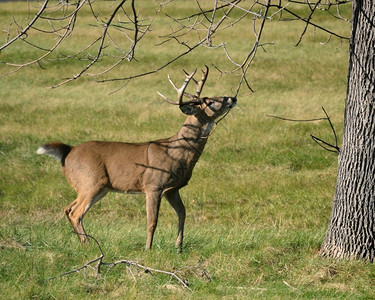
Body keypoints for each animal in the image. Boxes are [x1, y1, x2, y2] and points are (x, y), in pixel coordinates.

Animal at [36, 66, 236, 251]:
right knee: (76, 213)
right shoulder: (153, 185)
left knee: (69, 209)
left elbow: (182, 213)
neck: (176, 153)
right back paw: (89, 244)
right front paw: (148, 248)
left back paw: (84, 242)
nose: (232, 98)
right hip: (90, 182)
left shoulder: (172, 189)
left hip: (97, 187)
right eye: (211, 101)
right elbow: (152, 221)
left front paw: (178, 247)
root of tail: (68, 151)